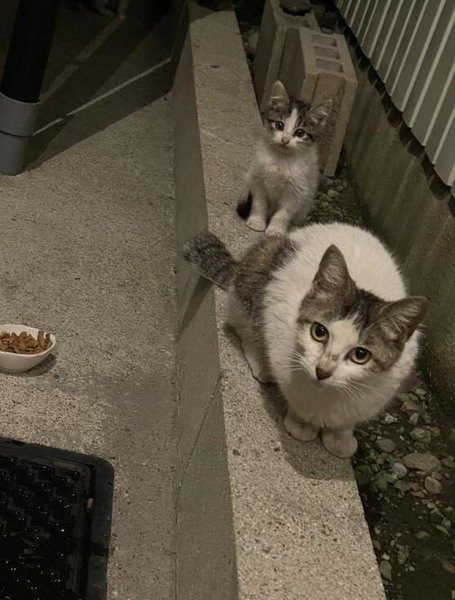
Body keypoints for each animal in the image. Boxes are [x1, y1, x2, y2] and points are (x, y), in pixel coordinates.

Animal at [183, 223, 428, 458]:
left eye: (361, 354)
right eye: (319, 332)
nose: (323, 370)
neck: (329, 395)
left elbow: (347, 420)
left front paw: (340, 436)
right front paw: (302, 422)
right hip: (259, 270)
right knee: (243, 324)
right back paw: (261, 362)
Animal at [238, 81, 332, 236]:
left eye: (300, 133)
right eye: (279, 125)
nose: (285, 139)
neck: (282, 158)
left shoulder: (297, 191)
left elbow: (284, 213)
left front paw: (276, 230)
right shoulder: (258, 179)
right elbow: (259, 203)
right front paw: (256, 221)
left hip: (306, 201)